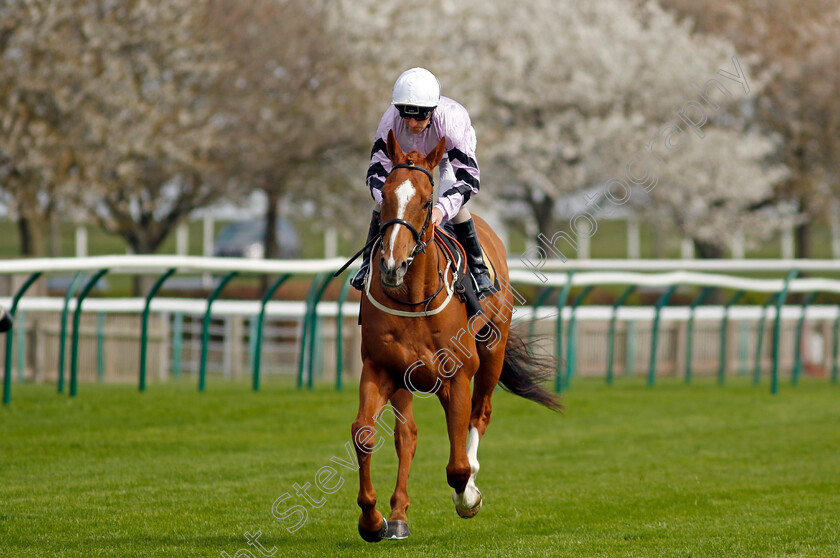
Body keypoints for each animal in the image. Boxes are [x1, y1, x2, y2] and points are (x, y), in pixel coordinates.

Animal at [352, 130, 560, 544]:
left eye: (425, 201)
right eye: (386, 197)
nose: (391, 266)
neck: (414, 298)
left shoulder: (458, 376)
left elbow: (458, 466)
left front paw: (468, 498)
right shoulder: (381, 369)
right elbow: (366, 435)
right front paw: (373, 519)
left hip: (492, 354)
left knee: (480, 415)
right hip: (404, 381)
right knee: (407, 435)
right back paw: (397, 515)